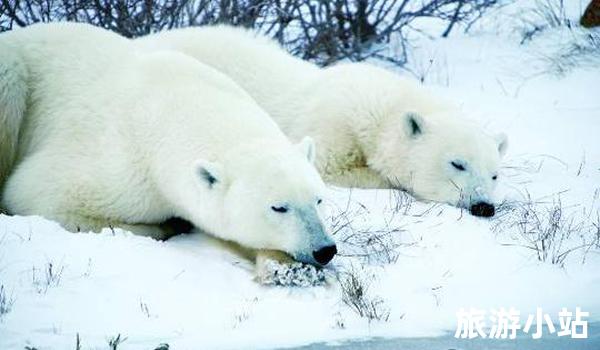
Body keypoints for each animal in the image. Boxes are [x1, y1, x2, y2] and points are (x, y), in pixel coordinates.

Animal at [0, 23, 338, 278]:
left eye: (318, 199)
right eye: (279, 207)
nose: (324, 249)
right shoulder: (118, 163)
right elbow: (34, 193)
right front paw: (165, 224)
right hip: (14, 75)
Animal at [138, 26, 508, 216]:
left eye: (494, 174)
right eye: (457, 163)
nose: (483, 206)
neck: (378, 106)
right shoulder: (333, 123)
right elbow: (333, 167)